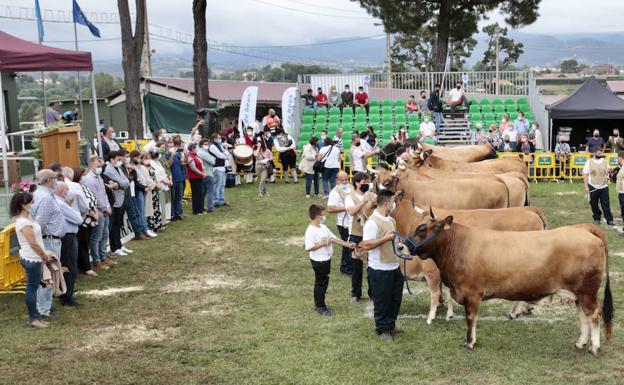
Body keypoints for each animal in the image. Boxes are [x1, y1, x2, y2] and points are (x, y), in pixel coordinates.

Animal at [398, 214, 612, 352]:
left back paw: (594, 347)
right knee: (584, 316)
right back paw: (580, 343)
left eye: (422, 229)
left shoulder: (472, 293)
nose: (400, 246)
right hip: (578, 294)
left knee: (593, 314)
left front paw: (469, 342)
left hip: (587, 291)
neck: (459, 246)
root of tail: (583, 229)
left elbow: (470, 318)